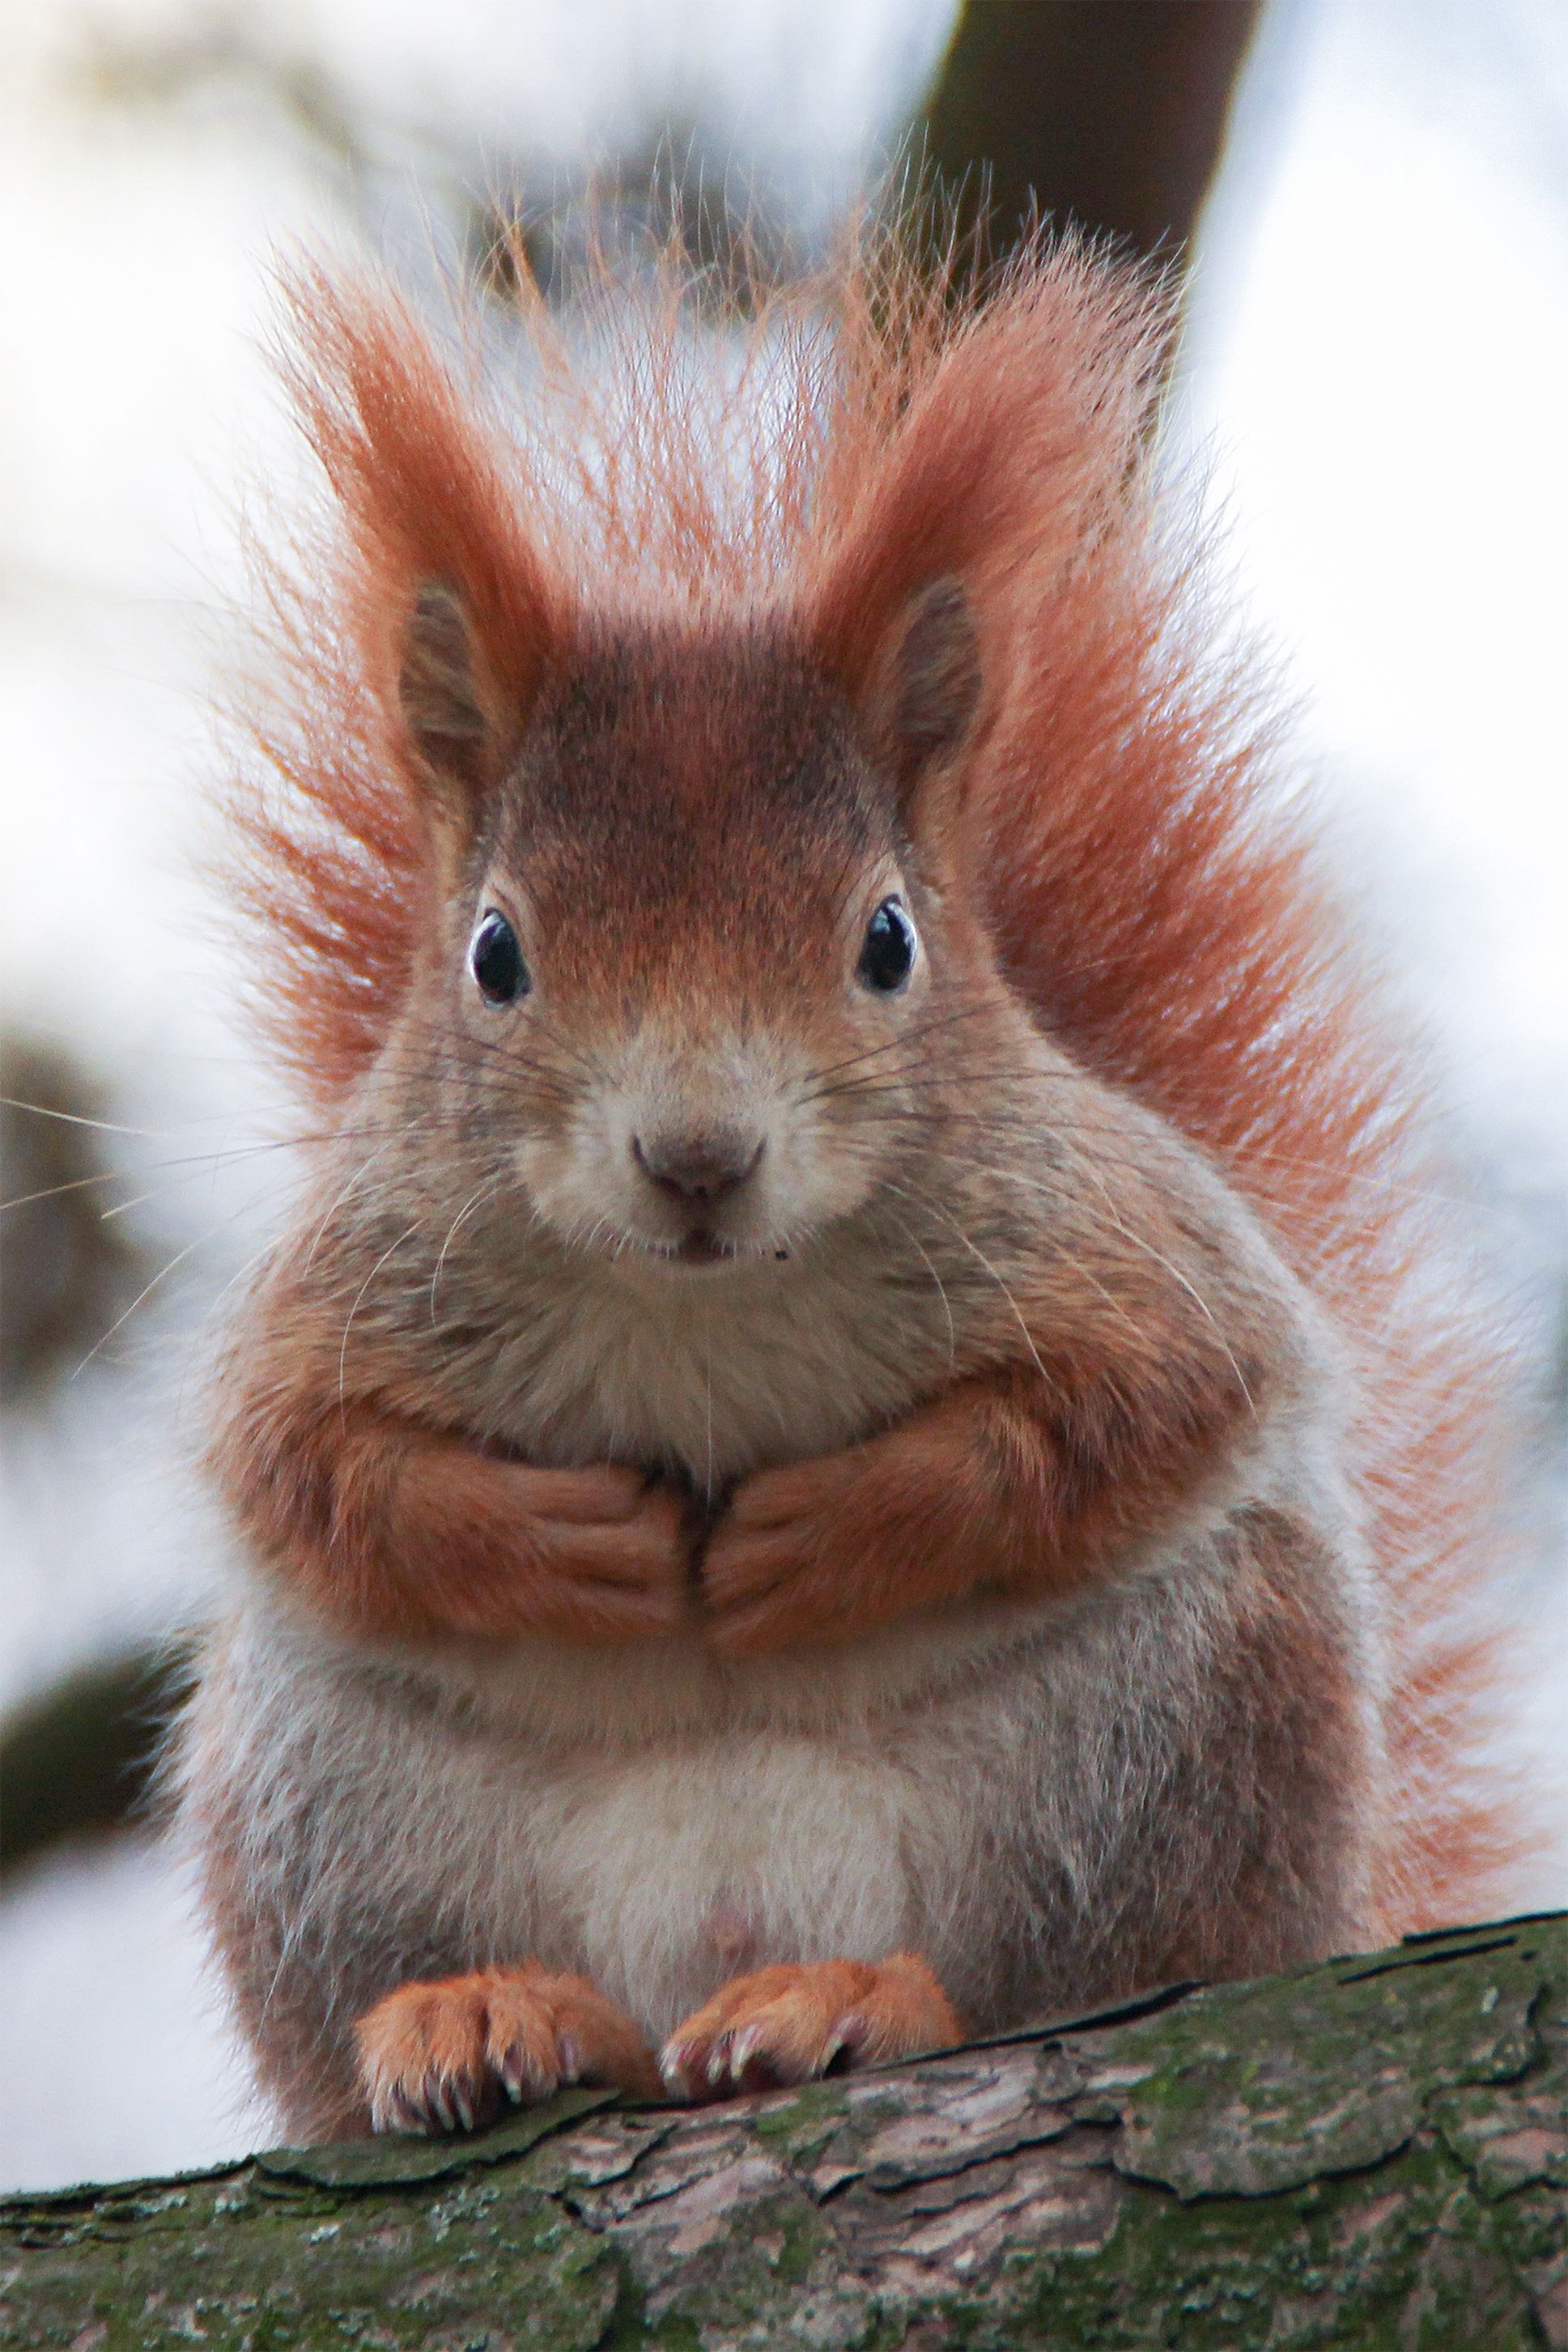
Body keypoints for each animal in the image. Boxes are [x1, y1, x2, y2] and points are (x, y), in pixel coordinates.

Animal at [176, 229, 1518, 2143]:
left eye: (886, 939)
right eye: (495, 955)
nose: (695, 1158)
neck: (705, 1305)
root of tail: (712, 1952)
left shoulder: (1132, 1247)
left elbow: (1128, 1409)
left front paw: (824, 1535)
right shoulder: (338, 1286)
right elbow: (315, 1472)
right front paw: (564, 1541)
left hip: (1178, 1725)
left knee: (1061, 1975)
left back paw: (854, 1997)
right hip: (325, 1796)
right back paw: (476, 2015)